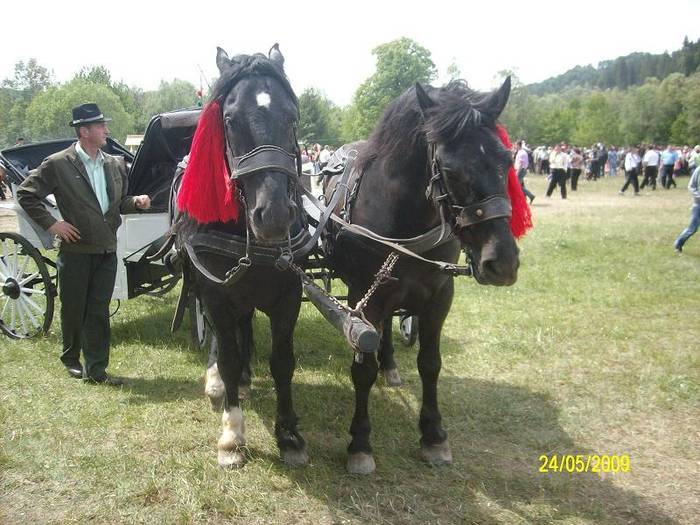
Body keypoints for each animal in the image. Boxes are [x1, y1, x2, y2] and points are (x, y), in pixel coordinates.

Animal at [174, 46, 308, 466]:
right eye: (230, 120)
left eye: (292, 116)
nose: (275, 214)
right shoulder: (215, 293)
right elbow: (229, 357)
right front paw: (232, 435)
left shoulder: (288, 295)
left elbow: (282, 362)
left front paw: (289, 434)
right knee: (226, 338)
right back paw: (220, 381)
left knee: (244, 325)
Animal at [324, 78, 520, 474]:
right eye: (450, 169)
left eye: (507, 161)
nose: (502, 263)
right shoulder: (364, 295)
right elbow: (362, 368)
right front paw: (360, 443)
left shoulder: (439, 295)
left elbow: (430, 364)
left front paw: (434, 436)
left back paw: (390, 365)